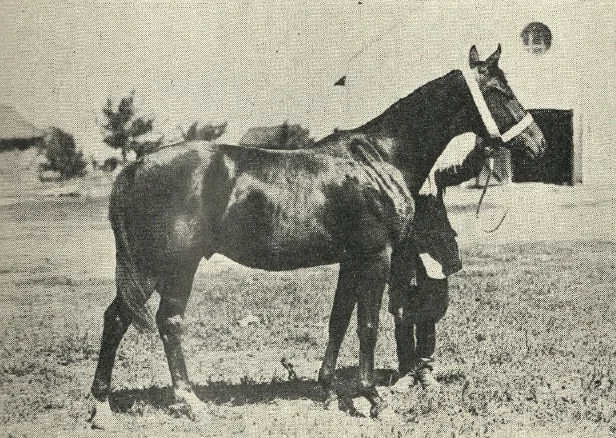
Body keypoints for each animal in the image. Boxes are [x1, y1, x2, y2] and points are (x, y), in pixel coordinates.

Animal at [89, 45, 545, 427]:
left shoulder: (351, 259)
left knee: (121, 318)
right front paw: (373, 399)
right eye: (500, 91)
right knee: (160, 322)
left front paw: (327, 390)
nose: (538, 143)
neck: (379, 157)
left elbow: (338, 320)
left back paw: (102, 407)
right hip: (168, 267)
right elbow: (367, 325)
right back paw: (183, 402)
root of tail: (135, 168)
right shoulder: (376, 256)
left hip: (156, 270)